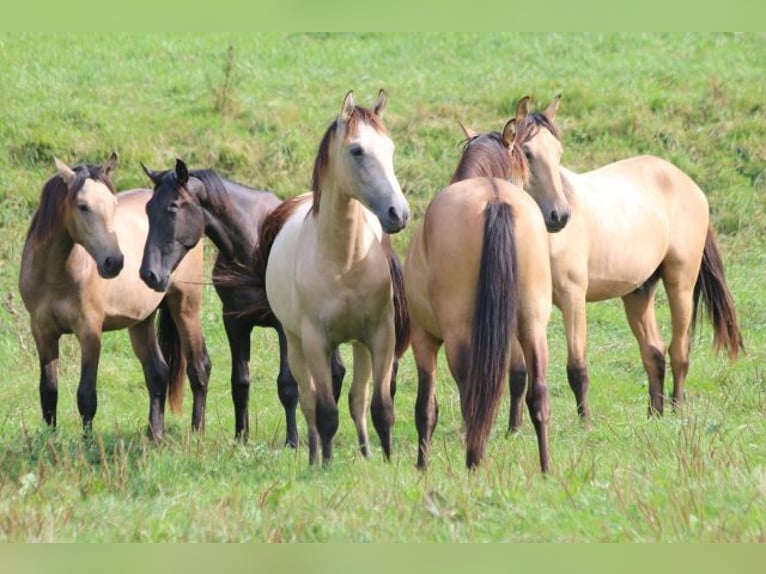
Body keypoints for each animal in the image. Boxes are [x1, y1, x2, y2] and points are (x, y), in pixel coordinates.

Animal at [19, 155, 212, 438]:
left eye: (113, 204)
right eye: (82, 206)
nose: (115, 262)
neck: (55, 274)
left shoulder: (89, 331)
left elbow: (86, 396)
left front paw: (87, 443)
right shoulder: (42, 332)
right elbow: (49, 392)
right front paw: (50, 441)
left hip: (186, 307)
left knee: (199, 367)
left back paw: (197, 432)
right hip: (141, 321)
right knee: (157, 373)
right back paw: (155, 435)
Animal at [140, 160, 348, 448]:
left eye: (173, 208)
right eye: (148, 208)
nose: (149, 274)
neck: (254, 244)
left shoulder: (282, 327)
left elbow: (287, 385)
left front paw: (292, 441)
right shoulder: (234, 321)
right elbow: (240, 382)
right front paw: (241, 437)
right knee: (335, 371)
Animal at [256, 91, 414, 468]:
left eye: (390, 148)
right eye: (357, 150)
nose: (399, 214)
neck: (345, 261)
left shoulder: (380, 335)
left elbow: (379, 407)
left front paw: (387, 461)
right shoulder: (316, 342)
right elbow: (325, 411)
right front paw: (325, 465)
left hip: (358, 345)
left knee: (358, 399)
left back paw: (366, 452)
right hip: (295, 344)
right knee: (309, 402)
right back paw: (315, 456)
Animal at [456, 95, 744, 428]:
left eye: (558, 153)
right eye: (527, 153)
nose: (559, 216)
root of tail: (687, 183)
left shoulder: (573, 298)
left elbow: (577, 367)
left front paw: (585, 425)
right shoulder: (517, 304)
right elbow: (517, 373)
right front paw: (513, 429)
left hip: (680, 283)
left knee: (679, 351)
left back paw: (675, 412)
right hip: (638, 292)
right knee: (654, 353)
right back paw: (654, 416)